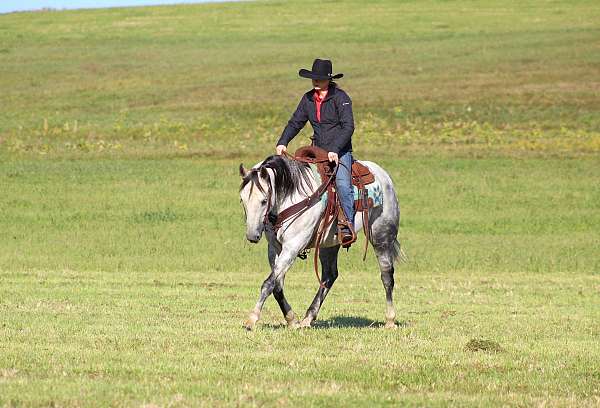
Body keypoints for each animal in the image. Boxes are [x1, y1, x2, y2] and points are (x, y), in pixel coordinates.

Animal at [238, 151, 404, 330]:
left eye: (263, 201)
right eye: (242, 200)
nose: (252, 235)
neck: (291, 196)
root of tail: (383, 176)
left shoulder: (293, 246)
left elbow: (268, 283)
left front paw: (252, 319)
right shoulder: (275, 248)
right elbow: (277, 285)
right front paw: (292, 319)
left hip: (382, 235)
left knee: (387, 275)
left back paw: (390, 320)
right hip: (329, 243)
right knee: (329, 275)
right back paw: (308, 318)